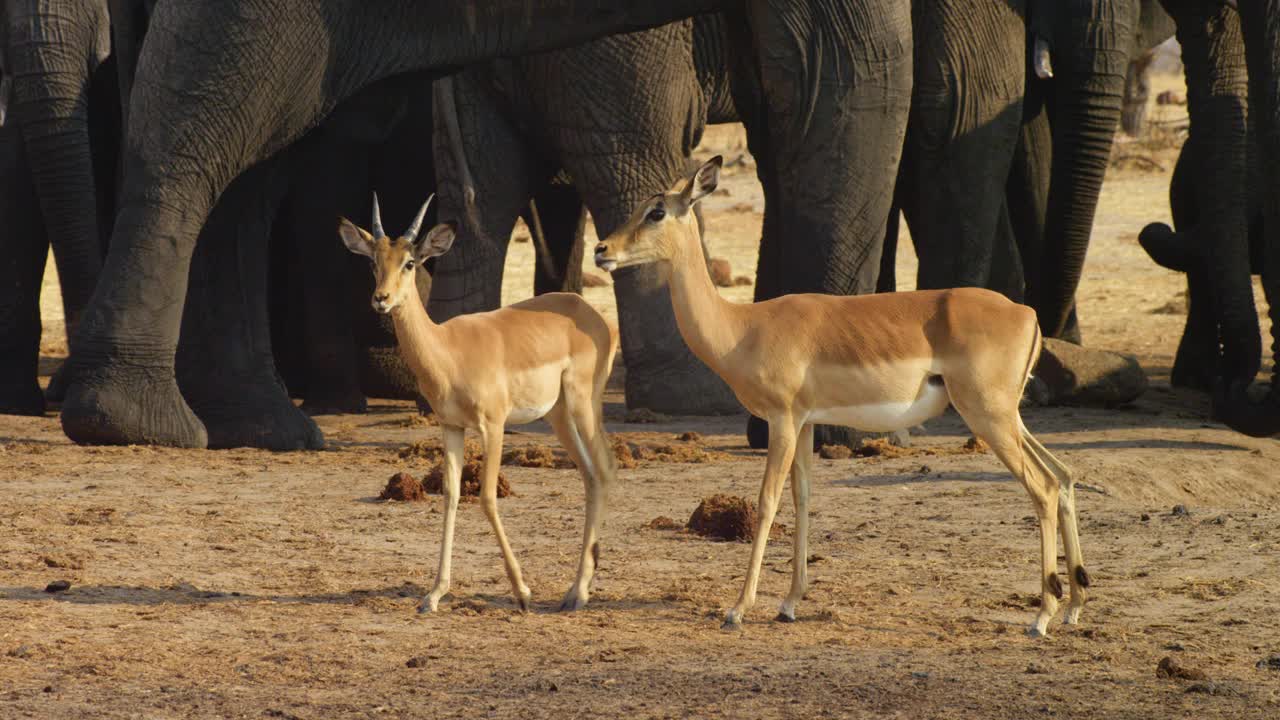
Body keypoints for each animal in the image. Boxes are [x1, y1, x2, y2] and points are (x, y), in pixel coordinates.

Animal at [57, 0, 911, 445]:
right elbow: (850, 70)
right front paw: (835, 425)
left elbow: (837, 74)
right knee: (209, 121)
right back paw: (141, 424)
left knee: (256, 144)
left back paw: (257, 424)